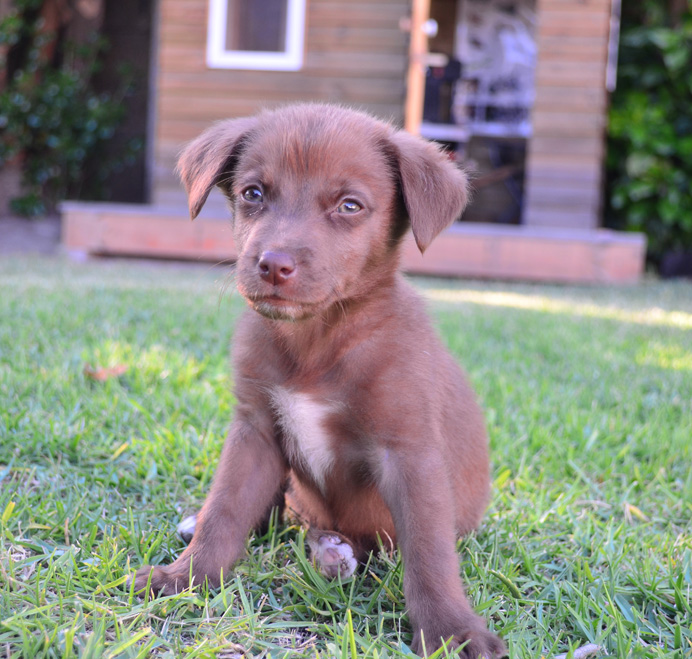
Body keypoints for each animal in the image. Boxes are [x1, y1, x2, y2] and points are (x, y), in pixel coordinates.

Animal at [133, 104, 506, 658]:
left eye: (350, 205)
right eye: (253, 193)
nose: (273, 265)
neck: (316, 342)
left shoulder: (409, 451)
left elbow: (429, 554)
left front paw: (452, 631)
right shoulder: (255, 430)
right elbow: (225, 510)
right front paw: (185, 579)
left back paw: (334, 554)